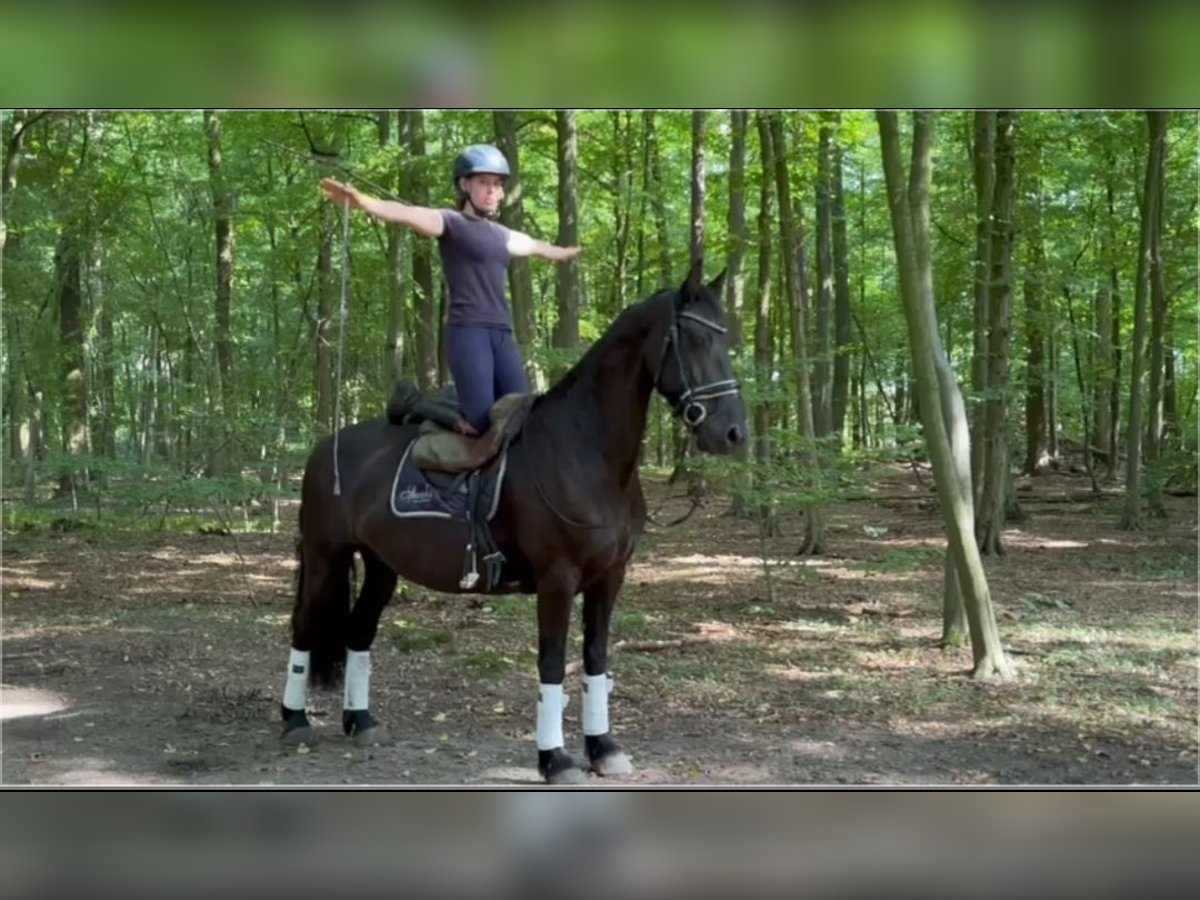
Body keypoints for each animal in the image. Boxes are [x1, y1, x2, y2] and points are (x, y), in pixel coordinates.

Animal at [284, 259, 744, 782]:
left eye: (726, 339)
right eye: (695, 339)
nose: (733, 432)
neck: (585, 452)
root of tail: (324, 447)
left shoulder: (609, 578)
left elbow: (595, 658)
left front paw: (603, 748)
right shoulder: (557, 580)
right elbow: (552, 663)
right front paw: (555, 758)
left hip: (381, 564)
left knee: (359, 631)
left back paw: (360, 722)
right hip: (324, 556)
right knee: (303, 627)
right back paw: (295, 721)